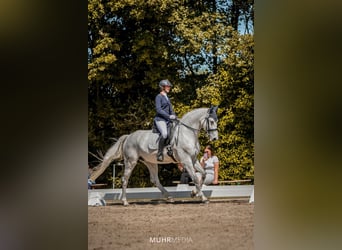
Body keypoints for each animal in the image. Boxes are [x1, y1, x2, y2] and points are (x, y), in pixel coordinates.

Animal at [90, 106, 219, 206]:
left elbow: (203, 174)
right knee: (125, 178)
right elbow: (195, 178)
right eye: (212, 121)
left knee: (155, 179)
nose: (215, 138)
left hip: (150, 162)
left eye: (216, 120)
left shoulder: (193, 159)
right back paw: (125, 201)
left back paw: (169, 197)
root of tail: (129, 136)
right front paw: (203, 198)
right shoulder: (186, 160)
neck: (187, 133)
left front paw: (193, 193)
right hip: (131, 161)